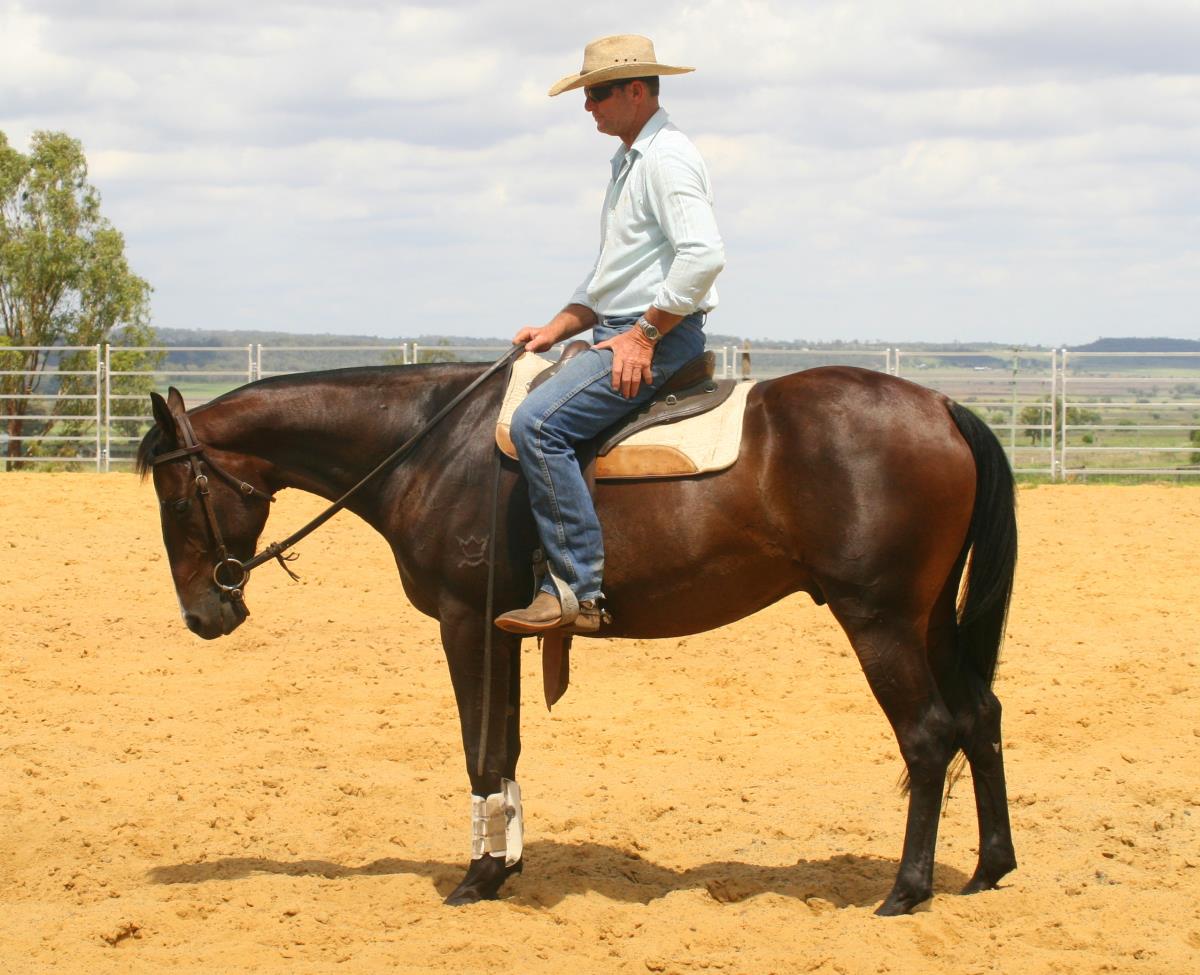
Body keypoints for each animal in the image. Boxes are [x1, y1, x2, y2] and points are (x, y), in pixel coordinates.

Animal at [136, 357, 1017, 916]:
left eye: (177, 499)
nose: (201, 615)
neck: (428, 445)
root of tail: (942, 406)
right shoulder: (502, 629)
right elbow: (506, 748)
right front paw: (506, 865)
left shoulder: (465, 621)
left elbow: (481, 750)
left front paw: (475, 876)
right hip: (932, 619)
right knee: (980, 717)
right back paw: (988, 869)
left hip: (880, 619)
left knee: (929, 735)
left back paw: (906, 890)